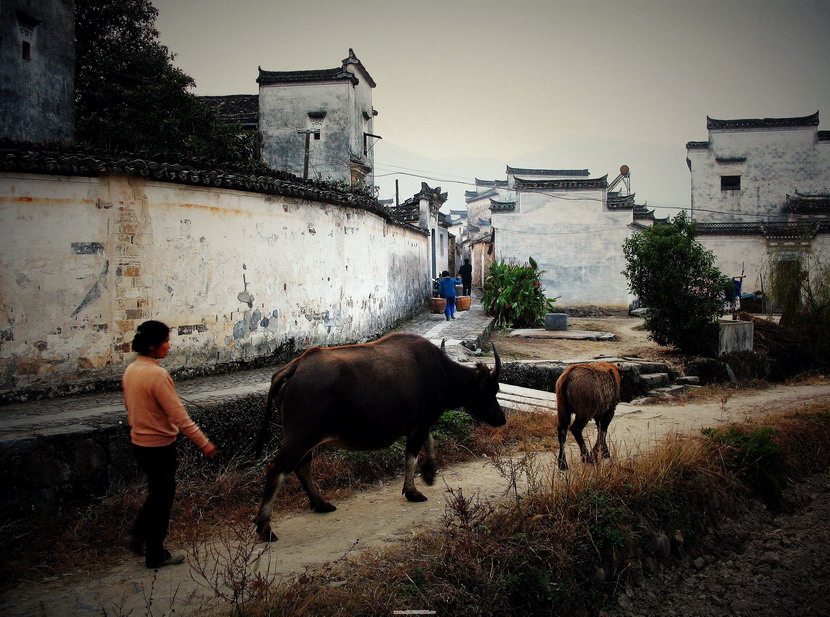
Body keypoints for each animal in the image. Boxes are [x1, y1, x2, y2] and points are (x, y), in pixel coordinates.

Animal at [252, 332, 508, 540]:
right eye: (492, 389)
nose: (501, 418)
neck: (443, 373)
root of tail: (294, 367)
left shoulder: (421, 424)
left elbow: (428, 443)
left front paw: (429, 473)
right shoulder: (420, 423)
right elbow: (412, 455)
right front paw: (413, 491)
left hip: (304, 440)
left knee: (302, 467)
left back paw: (321, 504)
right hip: (300, 437)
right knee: (277, 470)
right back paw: (265, 528)